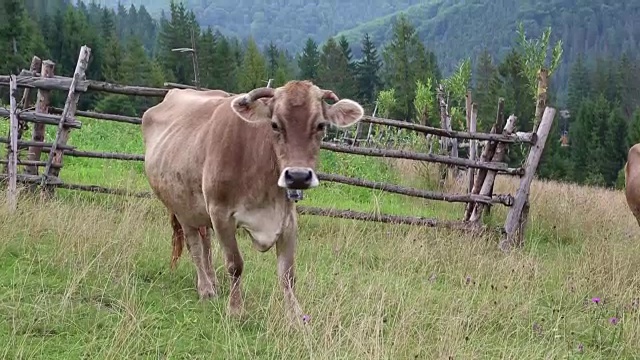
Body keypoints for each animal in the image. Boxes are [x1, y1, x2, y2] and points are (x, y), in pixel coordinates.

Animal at [141, 80, 364, 320]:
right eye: (275, 125)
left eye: (321, 125)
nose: (297, 176)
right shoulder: (221, 214)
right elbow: (235, 265)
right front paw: (235, 309)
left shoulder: (288, 219)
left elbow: (287, 273)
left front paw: (296, 316)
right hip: (182, 209)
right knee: (196, 248)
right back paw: (206, 288)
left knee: (206, 242)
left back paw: (213, 282)